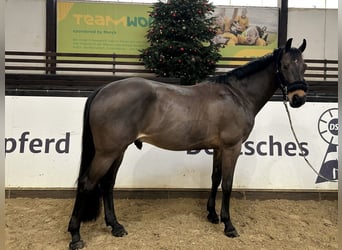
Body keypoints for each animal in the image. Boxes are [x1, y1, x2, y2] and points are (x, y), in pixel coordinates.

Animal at [67, 38, 308, 249]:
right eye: (285, 65)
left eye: (304, 66)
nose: (298, 98)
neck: (237, 95)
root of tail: (103, 90)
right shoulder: (232, 148)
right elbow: (227, 184)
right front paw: (228, 225)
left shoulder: (218, 149)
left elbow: (215, 178)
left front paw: (212, 214)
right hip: (107, 152)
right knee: (87, 183)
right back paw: (75, 235)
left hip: (118, 150)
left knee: (107, 183)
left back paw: (116, 226)